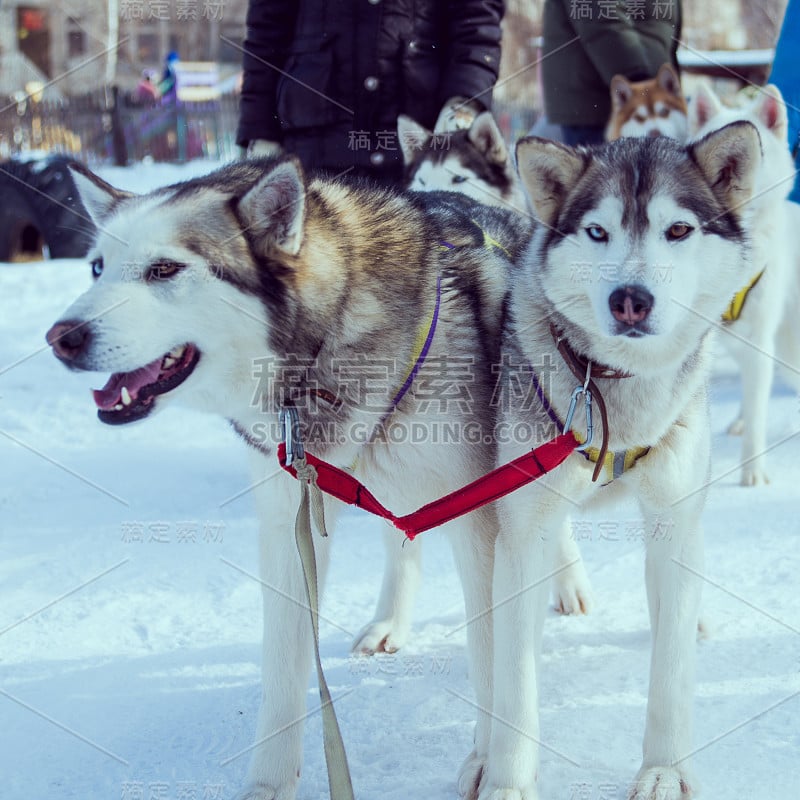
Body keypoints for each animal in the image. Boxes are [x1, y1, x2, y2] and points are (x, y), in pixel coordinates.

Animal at [47, 156, 532, 800]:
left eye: (164, 269)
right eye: (97, 267)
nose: (61, 337)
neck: (323, 349)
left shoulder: (477, 517)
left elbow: (490, 652)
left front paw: (486, 761)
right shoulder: (287, 527)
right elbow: (281, 673)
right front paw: (269, 785)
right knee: (400, 542)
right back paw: (389, 621)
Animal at [462, 120, 764, 800]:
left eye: (678, 230)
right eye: (598, 232)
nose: (631, 299)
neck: (616, 397)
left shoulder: (674, 516)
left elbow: (671, 671)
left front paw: (664, 770)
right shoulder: (521, 525)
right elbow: (515, 681)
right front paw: (508, 781)